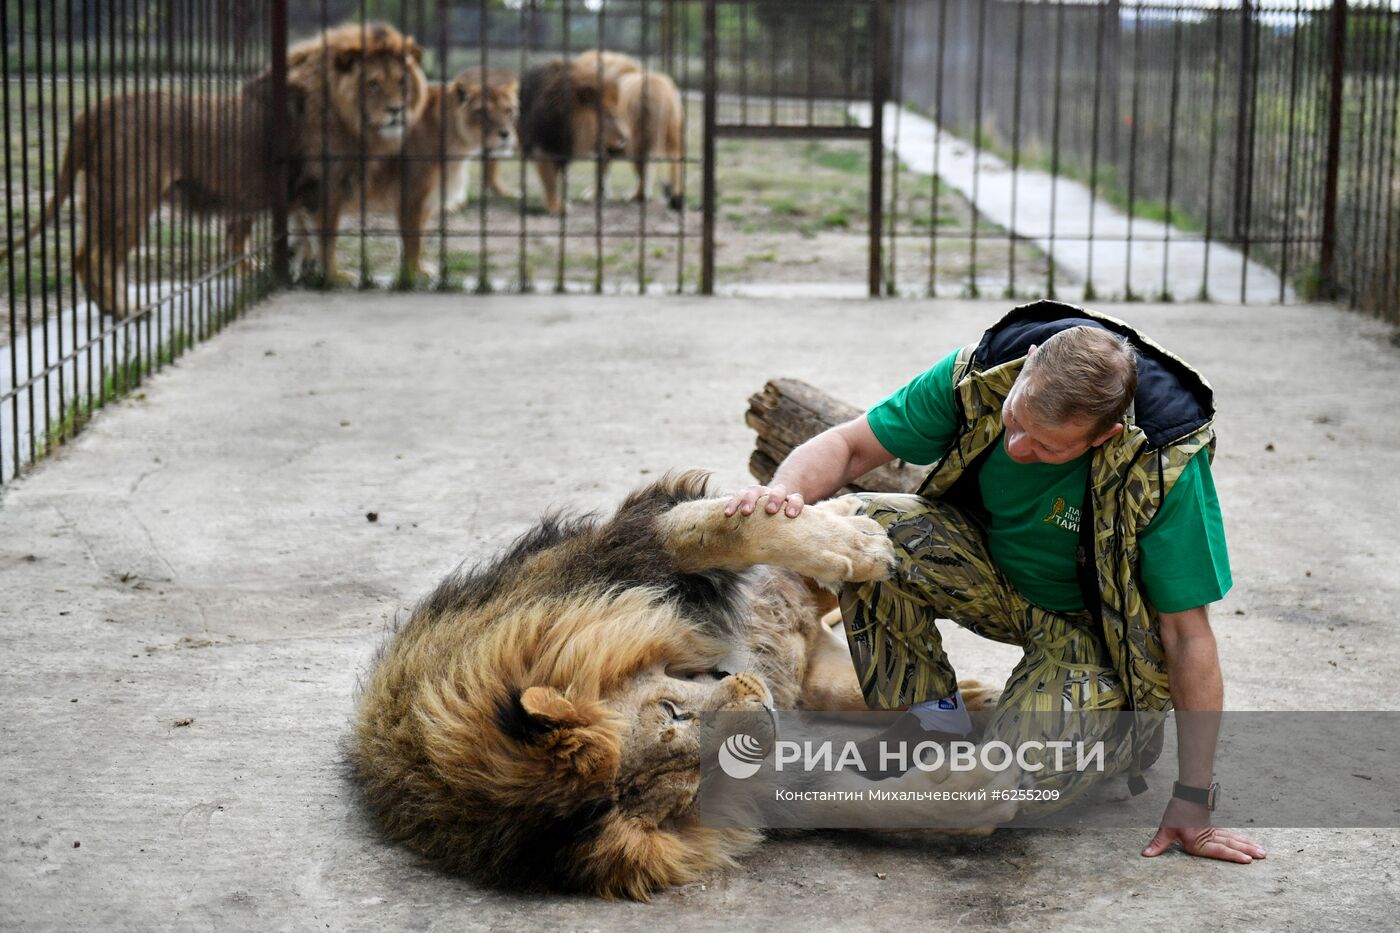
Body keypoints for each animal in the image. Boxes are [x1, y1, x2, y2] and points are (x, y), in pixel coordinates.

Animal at [347, 473, 1008, 896]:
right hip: (808, 669)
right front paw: (976, 792)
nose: (764, 721)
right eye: (689, 789)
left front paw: (848, 545)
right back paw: (978, 700)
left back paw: (857, 516)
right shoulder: (771, 786)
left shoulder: (623, 553)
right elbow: (857, 801)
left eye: (670, 710)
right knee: (834, 683)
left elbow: (719, 530)